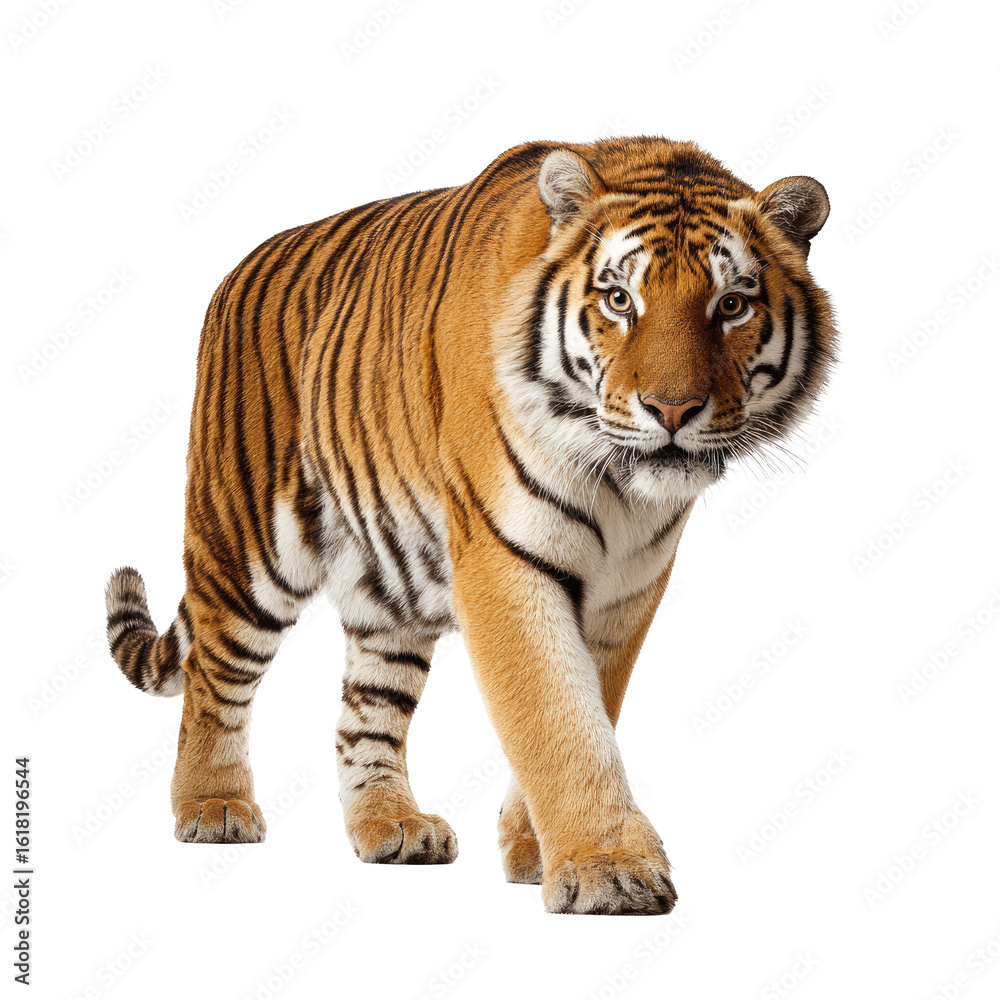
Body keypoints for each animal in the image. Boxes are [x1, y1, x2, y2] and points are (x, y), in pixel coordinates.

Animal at [104, 135, 835, 915]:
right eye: (619, 300)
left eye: (731, 305)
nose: (672, 410)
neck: (619, 484)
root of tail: (239, 267)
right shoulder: (503, 560)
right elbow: (556, 715)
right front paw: (606, 870)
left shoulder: (629, 587)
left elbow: (589, 706)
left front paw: (536, 850)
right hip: (249, 550)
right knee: (214, 676)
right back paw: (212, 808)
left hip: (386, 591)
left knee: (365, 712)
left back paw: (390, 824)